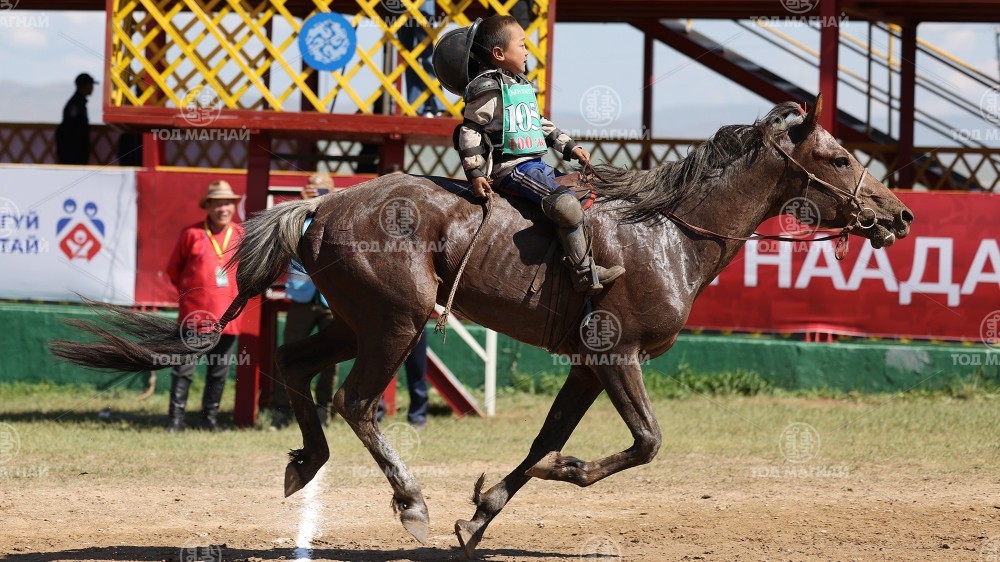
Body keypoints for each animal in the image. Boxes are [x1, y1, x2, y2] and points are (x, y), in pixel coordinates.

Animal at [52, 97, 916, 556]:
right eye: (840, 159)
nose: (899, 215)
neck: (667, 231)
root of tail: (321, 206)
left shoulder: (586, 364)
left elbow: (542, 442)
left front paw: (486, 506)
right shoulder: (618, 357)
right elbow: (643, 444)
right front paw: (542, 480)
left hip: (357, 321)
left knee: (300, 370)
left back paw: (307, 462)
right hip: (394, 325)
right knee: (357, 403)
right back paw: (408, 501)